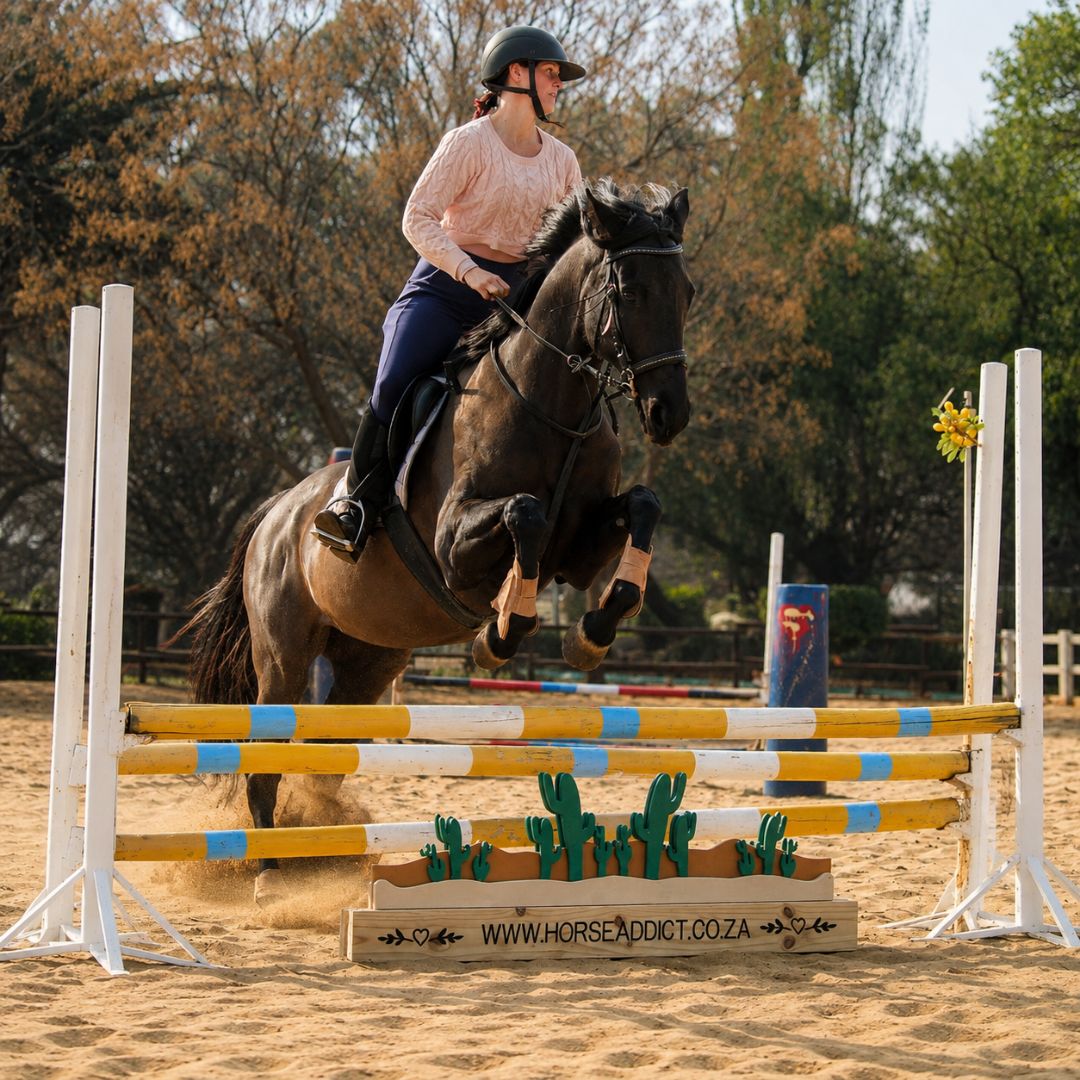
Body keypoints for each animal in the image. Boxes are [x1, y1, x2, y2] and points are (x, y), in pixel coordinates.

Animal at [186, 179, 695, 902]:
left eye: (687, 291)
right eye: (629, 291)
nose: (668, 414)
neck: (554, 409)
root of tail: (272, 517)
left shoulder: (581, 548)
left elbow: (641, 510)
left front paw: (590, 634)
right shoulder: (456, 545)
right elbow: (524, 515)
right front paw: (500, 633)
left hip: (368, 662)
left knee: (327, 753)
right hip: (283, 656)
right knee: (267, 752)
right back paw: (271, 877)